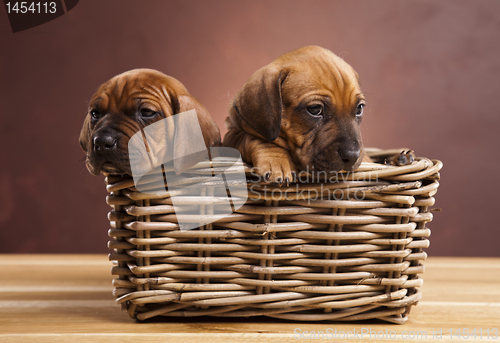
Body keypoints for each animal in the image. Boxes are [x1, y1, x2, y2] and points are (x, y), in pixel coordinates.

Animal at [225, 46, 366, 185]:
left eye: (359, 109)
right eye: (315, 109)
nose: (352, 156)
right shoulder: (232, 136)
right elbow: (254, 138)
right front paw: (276, 160)